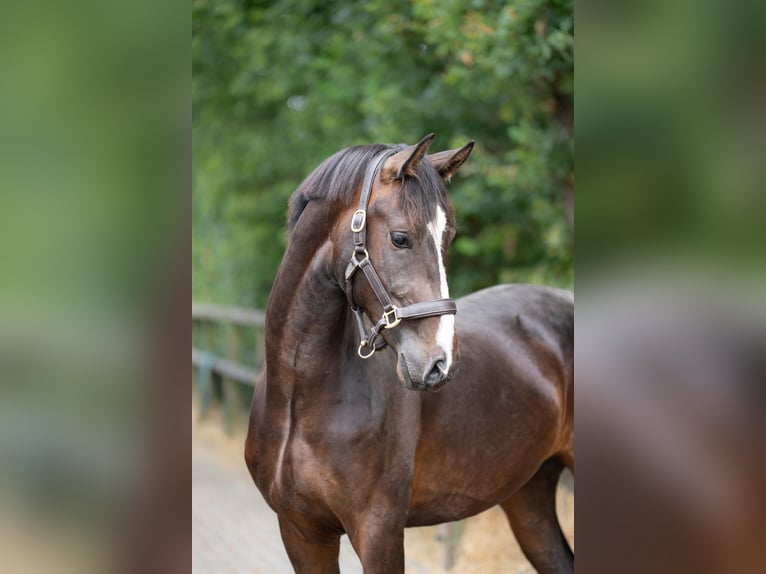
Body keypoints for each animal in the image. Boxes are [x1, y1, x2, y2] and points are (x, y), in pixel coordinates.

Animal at [245, 134, 574, 573]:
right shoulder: (301, 532)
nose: (439, 364)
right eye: (401, 238)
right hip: (529, 494)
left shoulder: (379, 531)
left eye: (448, 238)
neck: (299, 400)